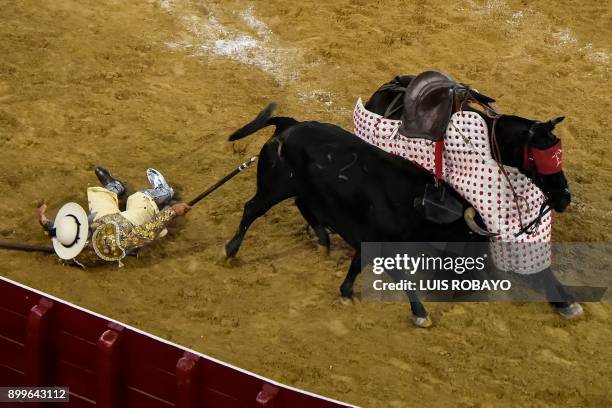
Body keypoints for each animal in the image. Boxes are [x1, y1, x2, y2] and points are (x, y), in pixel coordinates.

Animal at [225, 103, 580, 328]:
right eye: (540, 157)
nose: (563, 198)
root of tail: (289, 125)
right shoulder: (381, 241)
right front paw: (419, 313)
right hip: (274, 187)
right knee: (252, 209)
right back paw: (231, 250)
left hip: (298, 189)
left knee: (303, 205)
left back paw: (323, 238)